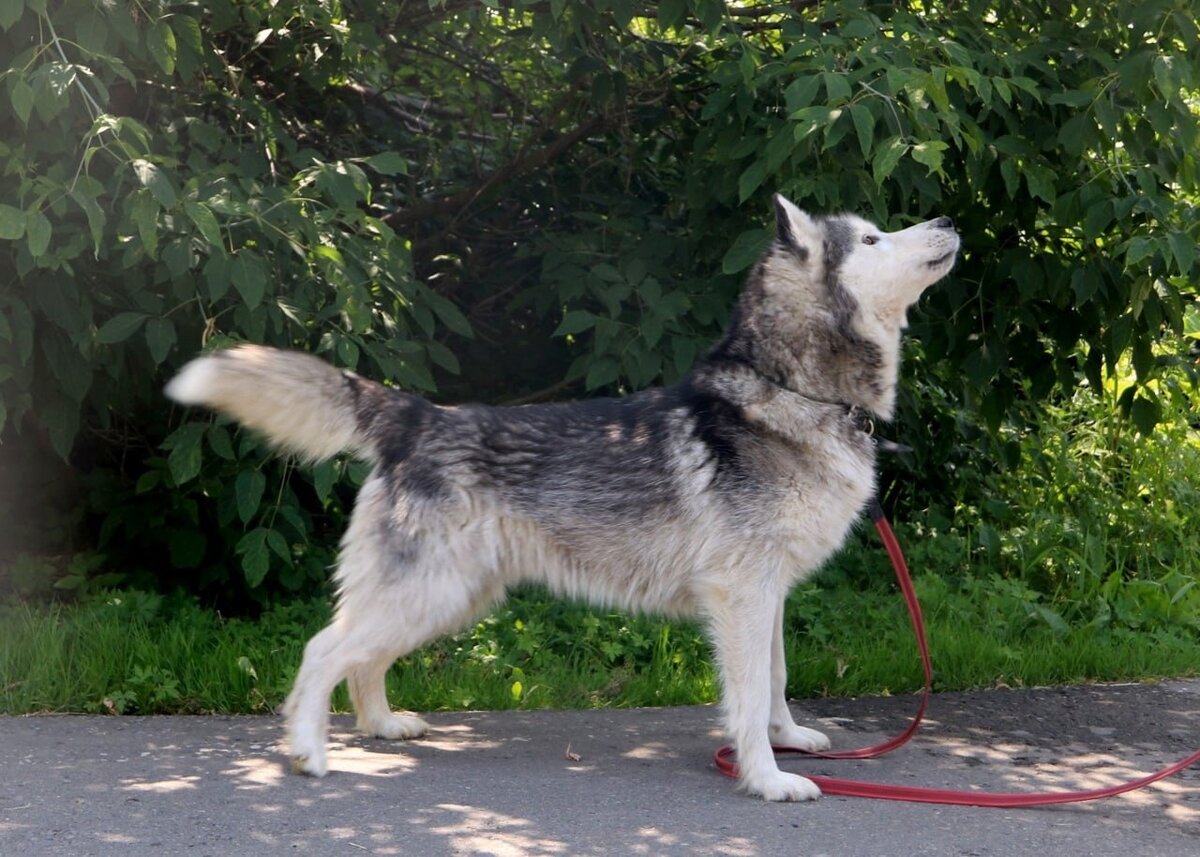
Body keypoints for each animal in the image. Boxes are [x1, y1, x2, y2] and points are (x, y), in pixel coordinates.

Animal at [166, 196, 955, 796]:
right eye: (873, 238)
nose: (948, 220)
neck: (795, 392)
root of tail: (417, 414)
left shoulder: (770, 594)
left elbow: (777, 678)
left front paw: (787, 739)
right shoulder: (744, 595)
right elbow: (751, 692)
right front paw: (766, 779)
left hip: (446, 598)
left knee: (361, 658)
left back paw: (382, 725)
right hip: (427, 593)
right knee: (322, 650)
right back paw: (309, 749)